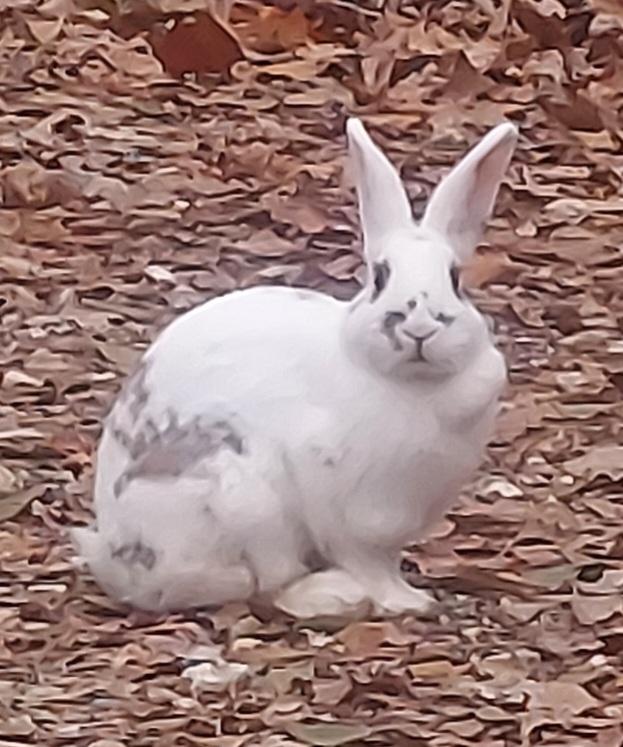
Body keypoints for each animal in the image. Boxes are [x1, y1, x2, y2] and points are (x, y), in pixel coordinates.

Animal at [71, 117, 518, 619]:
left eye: (456, 280)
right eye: (380, 277)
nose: (420, 327)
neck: (413, 385)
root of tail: (117, 560)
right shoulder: (349, 509)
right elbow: (369, 563)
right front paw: (403, 602)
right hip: (246, 504)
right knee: (265, 585)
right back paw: (333, 595)